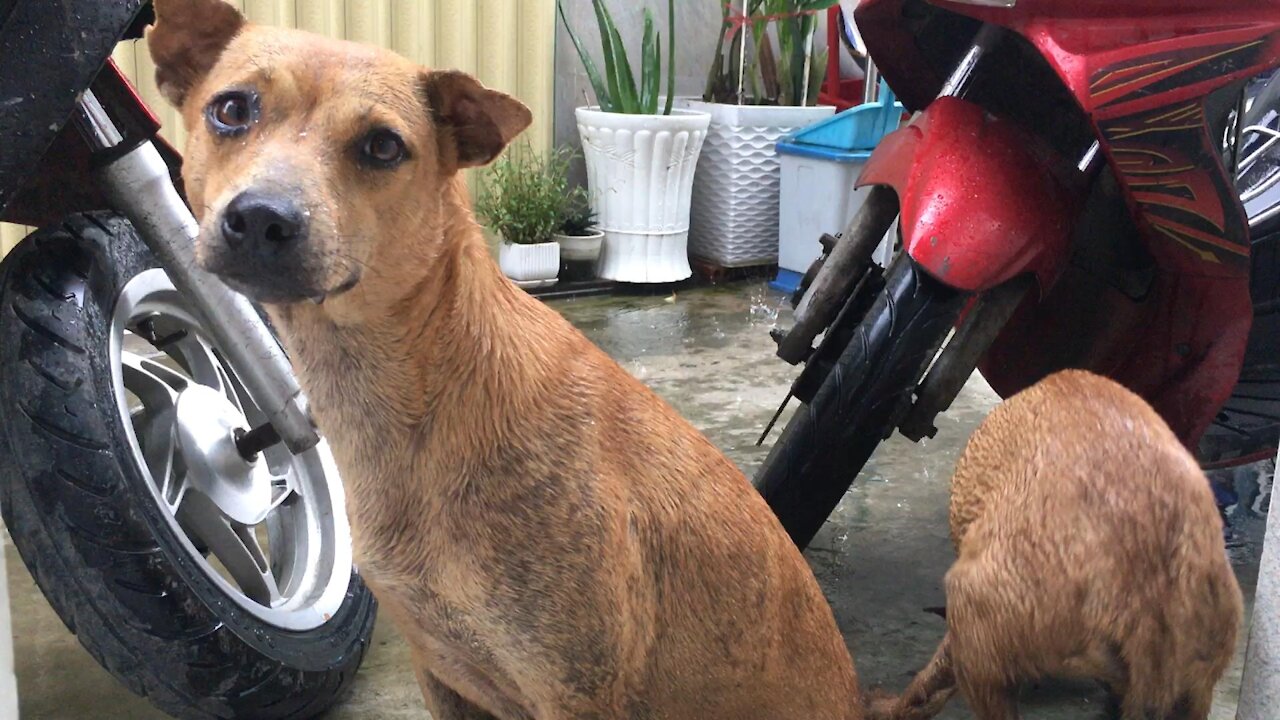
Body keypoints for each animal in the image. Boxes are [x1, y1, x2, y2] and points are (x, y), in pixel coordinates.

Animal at [152, 2, 870, 712]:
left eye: (383, 146)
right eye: (232, 109)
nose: (261, 218)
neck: (423, 397)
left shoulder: (575, 693)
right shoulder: (440, 671)